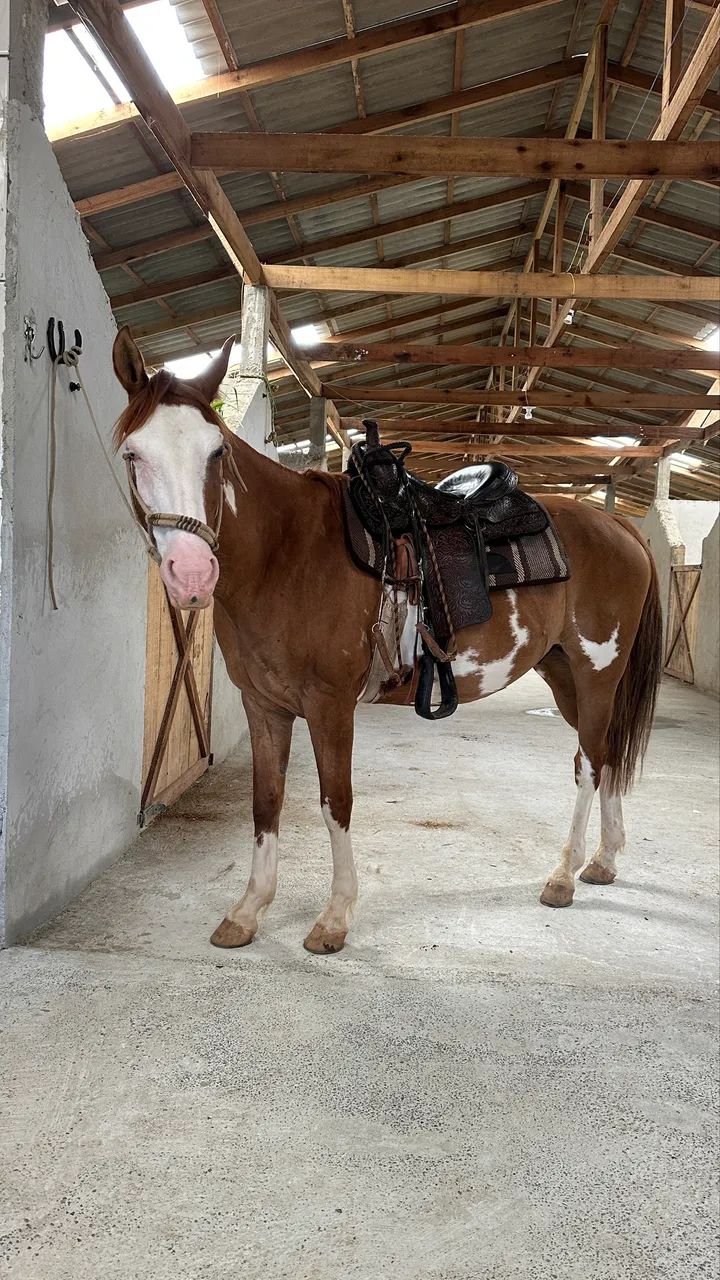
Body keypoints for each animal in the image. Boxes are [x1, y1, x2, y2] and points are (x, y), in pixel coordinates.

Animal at [111, 327, 663, 955]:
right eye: (132, 453)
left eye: (217, 452)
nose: (192, 573)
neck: (286, 554)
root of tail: (618, 526)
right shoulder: (264, 706)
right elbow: (266, 802)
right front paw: (248, 912)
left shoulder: (329, 706)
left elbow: (336, 801)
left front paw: (334, 918)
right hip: (565, 673)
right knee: (607, 752)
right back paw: (603, 861)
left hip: (598, 672)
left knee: (589, 762)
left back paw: (563, 875)